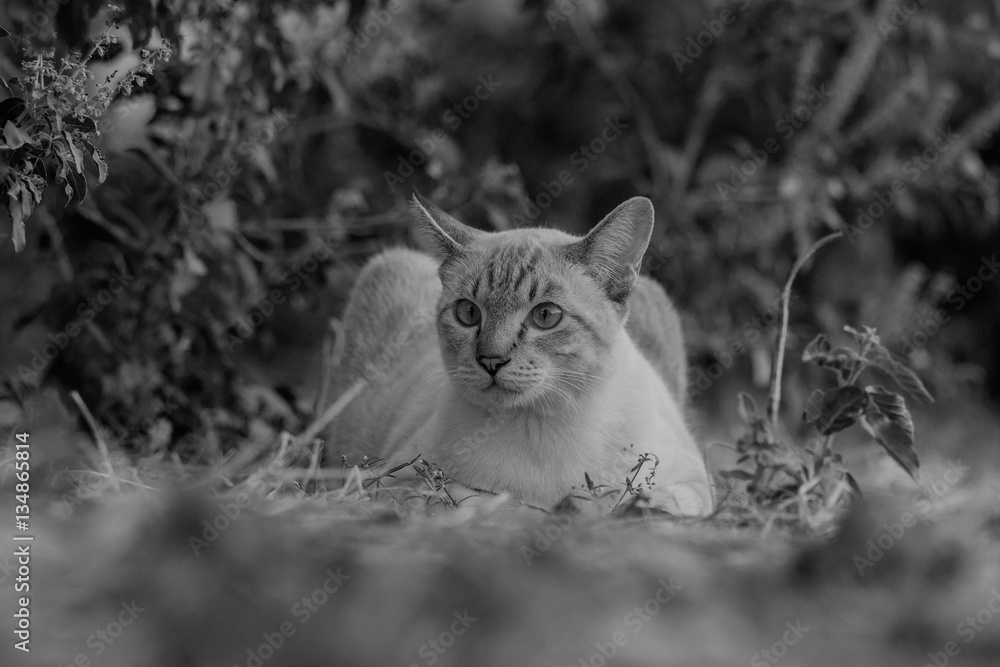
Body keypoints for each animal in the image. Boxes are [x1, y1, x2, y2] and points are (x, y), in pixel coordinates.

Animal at [326, 193, 712, 516]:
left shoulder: (694, 483)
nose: (490, 360)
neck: (541, 424)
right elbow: (476, 498)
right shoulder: (388, 480)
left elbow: (649, 500)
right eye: (468, 313)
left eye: (546, 315)